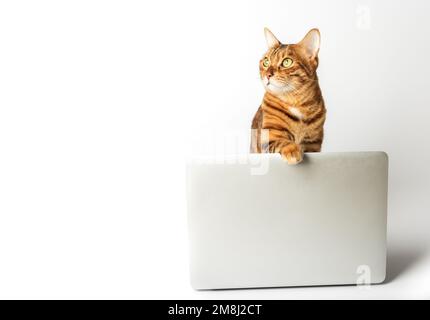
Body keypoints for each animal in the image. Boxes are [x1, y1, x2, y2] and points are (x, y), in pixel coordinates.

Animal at [249, 27, 326, 165]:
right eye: (266, 62)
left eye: (287, 62)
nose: (267, 75)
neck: (296, 101)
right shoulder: (269, 135)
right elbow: (283, 142)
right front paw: (293, 150)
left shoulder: (313, 144)